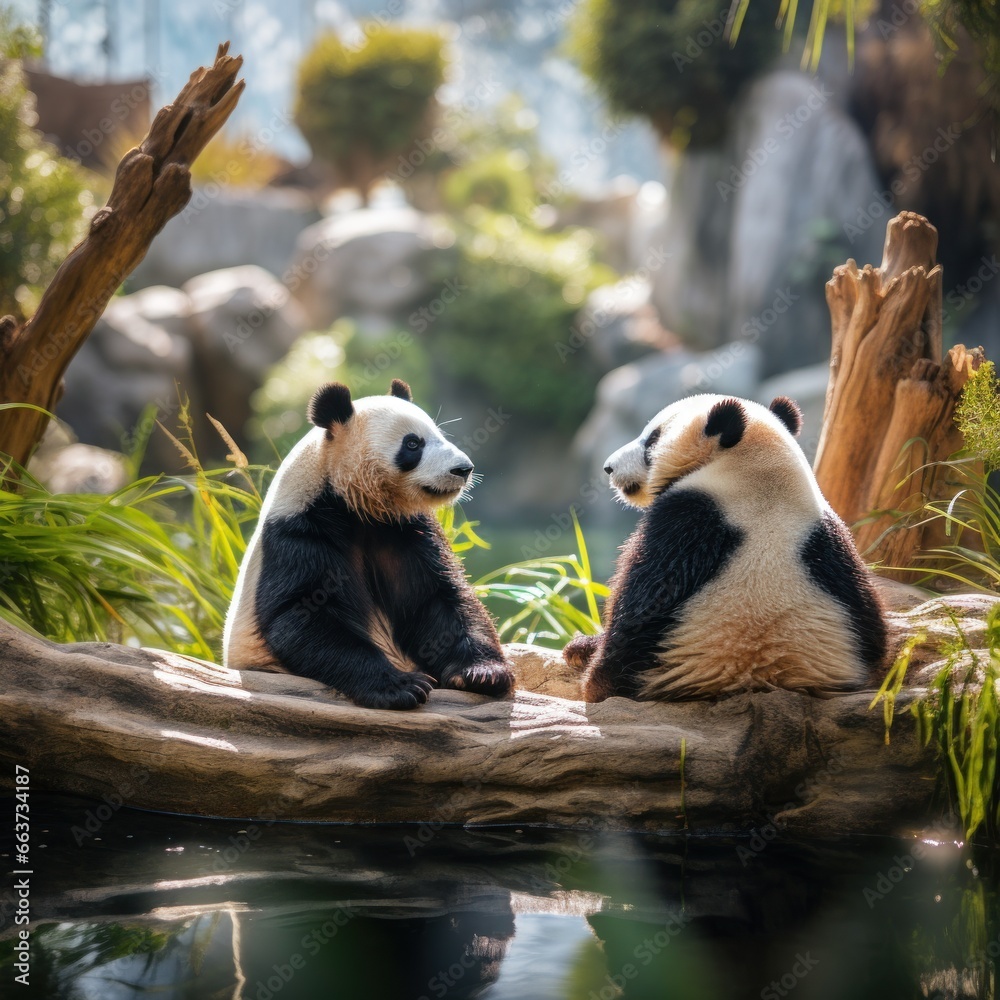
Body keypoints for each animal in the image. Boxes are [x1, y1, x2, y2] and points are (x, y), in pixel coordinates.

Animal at [223, 376, 512, 712]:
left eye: (439, 435)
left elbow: (438, 598)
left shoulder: (405, 530)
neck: (352, 502)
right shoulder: (296, 535)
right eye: (413, 444)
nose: (463, 469)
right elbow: (300, 615)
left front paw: (483, 673)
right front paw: (402, 687)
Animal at [568, 392, 888, 704]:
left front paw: (590, 663)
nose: (609, 467)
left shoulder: (686, 522)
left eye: (652, 439)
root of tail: (761, 678)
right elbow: (874, 630)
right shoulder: (832, 541)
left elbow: (641, 607)